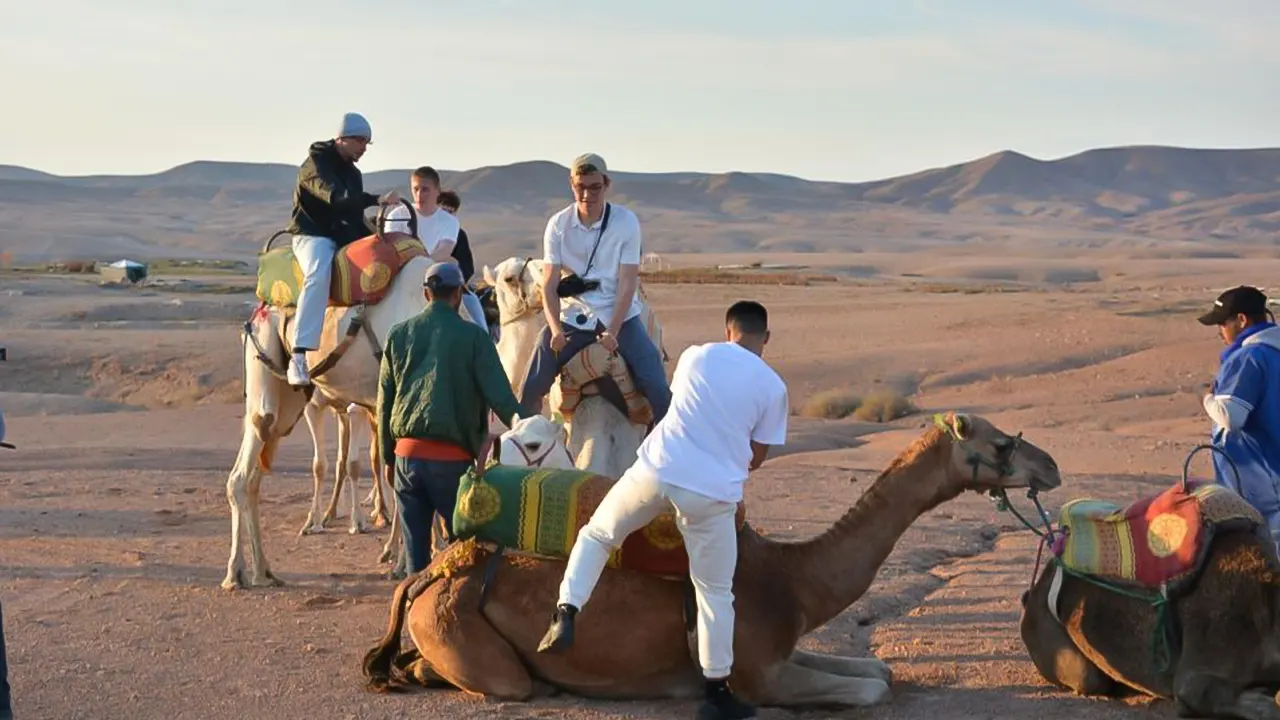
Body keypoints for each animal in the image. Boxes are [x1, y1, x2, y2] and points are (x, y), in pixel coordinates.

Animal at [360, 409, 1059, 707]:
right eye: (1002, 443)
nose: (1050, 466)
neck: (794, 581)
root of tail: (431, 574)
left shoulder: (780, 646)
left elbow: (879, 671)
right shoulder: (757, 674)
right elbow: (870, 691)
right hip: (465, 632)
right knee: (503, 682)